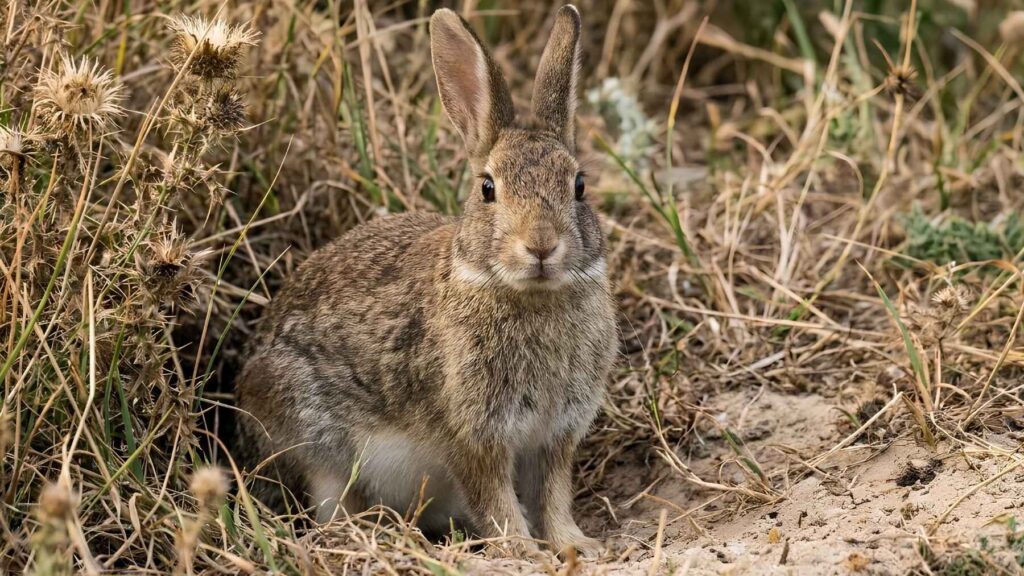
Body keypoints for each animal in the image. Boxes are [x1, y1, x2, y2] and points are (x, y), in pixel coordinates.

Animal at [235, 4, 616, 557]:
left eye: (580, 185)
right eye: (488, 188)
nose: (541, 246)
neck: (529, 295)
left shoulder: (555, 435)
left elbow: (553, 494)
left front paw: (575, 545)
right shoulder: (471, 434)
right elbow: (495, 498)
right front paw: (522, 550)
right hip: (310, 435)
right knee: (329, 508)